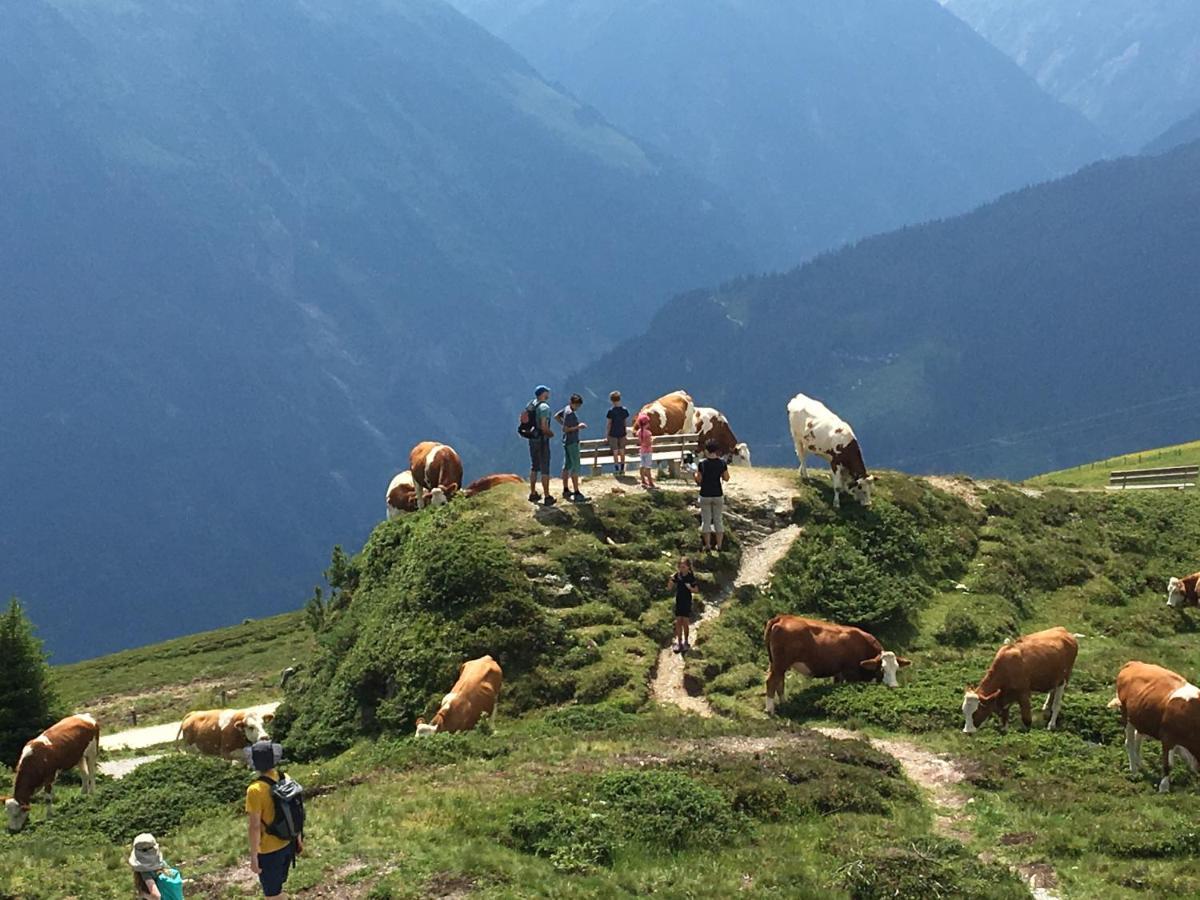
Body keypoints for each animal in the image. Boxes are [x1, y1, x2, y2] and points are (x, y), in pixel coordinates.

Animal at [763, 619, 902, 715]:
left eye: (896, 668)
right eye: (882, 669)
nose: (894, 686)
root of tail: (783, 617)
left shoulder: (838, 673)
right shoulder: (851, 673)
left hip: (777, 663)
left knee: (779, 682)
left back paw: (784, 704)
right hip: (780, 663)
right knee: (771, 681)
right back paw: (770, 710)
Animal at [1104, 662, 1200, 796]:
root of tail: (1133, 663)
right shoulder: (1168, 738)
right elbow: (1168, 765)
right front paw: (1164, 787)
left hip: (1141, 717)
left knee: (1137, 739)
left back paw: (1140, 764)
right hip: (1126, 715)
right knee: (1130, 742)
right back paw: (1134, 771)